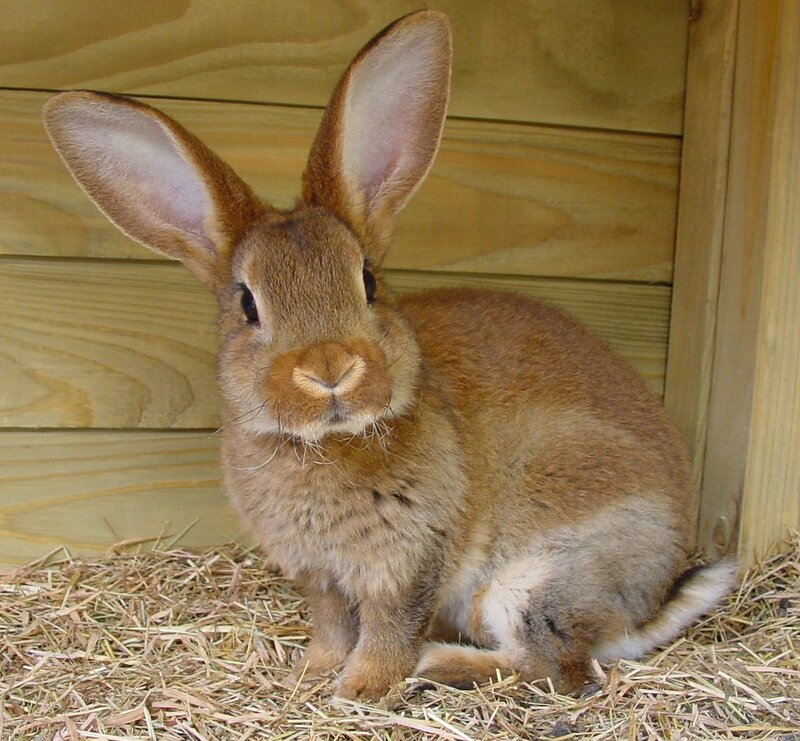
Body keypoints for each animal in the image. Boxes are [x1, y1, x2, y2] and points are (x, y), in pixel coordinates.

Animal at [42, 10, 737, 701]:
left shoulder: (406, 558)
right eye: (247, 305)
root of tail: (643, 609)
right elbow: (331, 621)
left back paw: (439, 662)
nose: (329, 371)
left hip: (531, 578)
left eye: (369, 281)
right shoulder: (319, 573)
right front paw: (314, 673)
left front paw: (359, 689)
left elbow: (387, 626)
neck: (324, 446)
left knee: (555, 668)